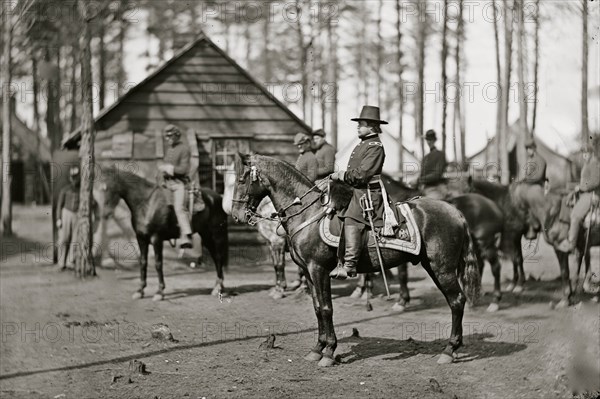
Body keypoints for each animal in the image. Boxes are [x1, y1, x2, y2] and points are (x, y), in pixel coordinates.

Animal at [99, 166, 229, 300]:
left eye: (110, 187)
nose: (105, 213)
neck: (147, 204)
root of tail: (217, 197)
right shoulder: (141, 239)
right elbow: (143, 262)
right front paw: (140, 290)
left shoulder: (156, 239)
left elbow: (158, 264)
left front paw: (159, 292)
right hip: (206, 236)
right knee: (216, 258)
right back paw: (217, 288)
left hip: (217, 235)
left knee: (219, 257)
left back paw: (220, 289)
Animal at [230, 155, 478, 368]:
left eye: (242, 179)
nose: (236, 214)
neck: (306, 213)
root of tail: (456, 212)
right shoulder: (308, 272)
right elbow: (317, 308)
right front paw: (317, 349)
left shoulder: (319, 269)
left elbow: (327, 308)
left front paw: (329, 352)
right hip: (433, 266)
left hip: (442, 268)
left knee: (457, 301)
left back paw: (449, 350)